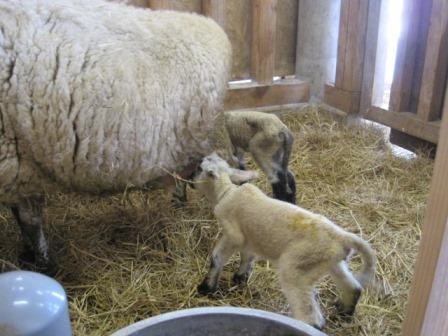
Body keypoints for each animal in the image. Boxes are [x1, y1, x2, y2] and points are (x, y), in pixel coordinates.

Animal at [194, 154, 376, 330]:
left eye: (199, 168)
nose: (190, 177)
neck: (226, 192)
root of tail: (342, 237)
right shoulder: (249, 239)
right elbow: (247, 257)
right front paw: (240, 277)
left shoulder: (233, 235)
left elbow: (217, 258)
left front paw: (207, 287)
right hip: (331, 262)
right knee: (353, 288)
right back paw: (344, 312)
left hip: (297, 270)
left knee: (312, 318)